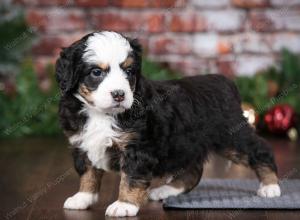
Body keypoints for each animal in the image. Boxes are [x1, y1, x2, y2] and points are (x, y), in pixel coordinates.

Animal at [56, 30, 282, 217]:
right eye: (96, 72)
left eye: (129, 72)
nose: (119, 94)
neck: (101, 114)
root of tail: (224, 81)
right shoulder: (82, 144)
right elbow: (88, 174)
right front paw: (83, 197)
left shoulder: (137, 149)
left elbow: (130, 178)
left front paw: (124, 204)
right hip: (187, 145)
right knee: (193, 172)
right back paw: (166, 190)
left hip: (231, 137)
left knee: (260, 150)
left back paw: (271, 186)